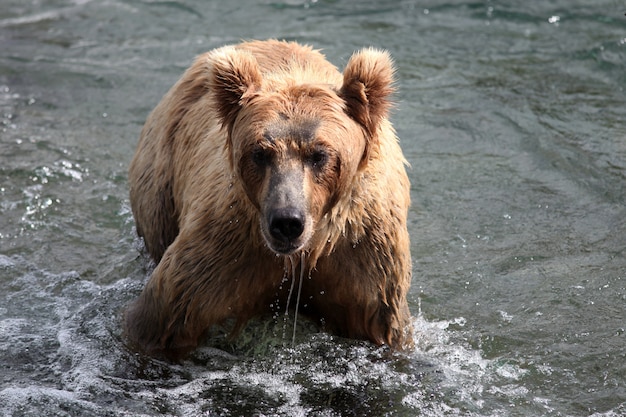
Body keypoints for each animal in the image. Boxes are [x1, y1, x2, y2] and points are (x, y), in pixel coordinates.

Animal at [125, 38, 412, 358]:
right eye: (260, 153)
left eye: (319, 155)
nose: (287, 222)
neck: (303, 254)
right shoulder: (227, 247)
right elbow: (162, 318)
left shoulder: (362, 256)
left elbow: (380, 328)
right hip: (161, 180)